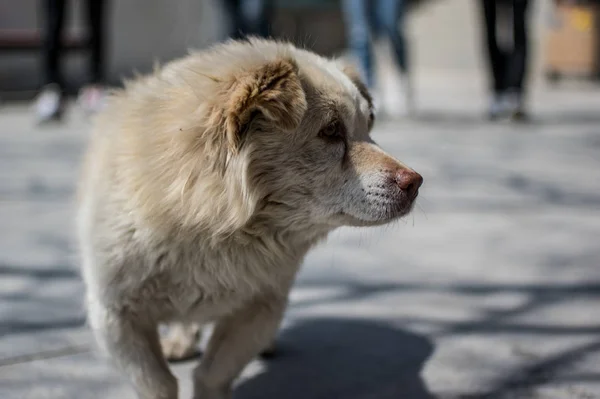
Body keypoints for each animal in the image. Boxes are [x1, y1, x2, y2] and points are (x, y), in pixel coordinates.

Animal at [76, 38, 422, 399]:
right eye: (330, 131)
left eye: (368, 128)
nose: (415, 182)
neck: (211, 227)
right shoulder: (115, 316)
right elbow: (159, 383)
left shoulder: (259, 310)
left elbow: (211, 375)